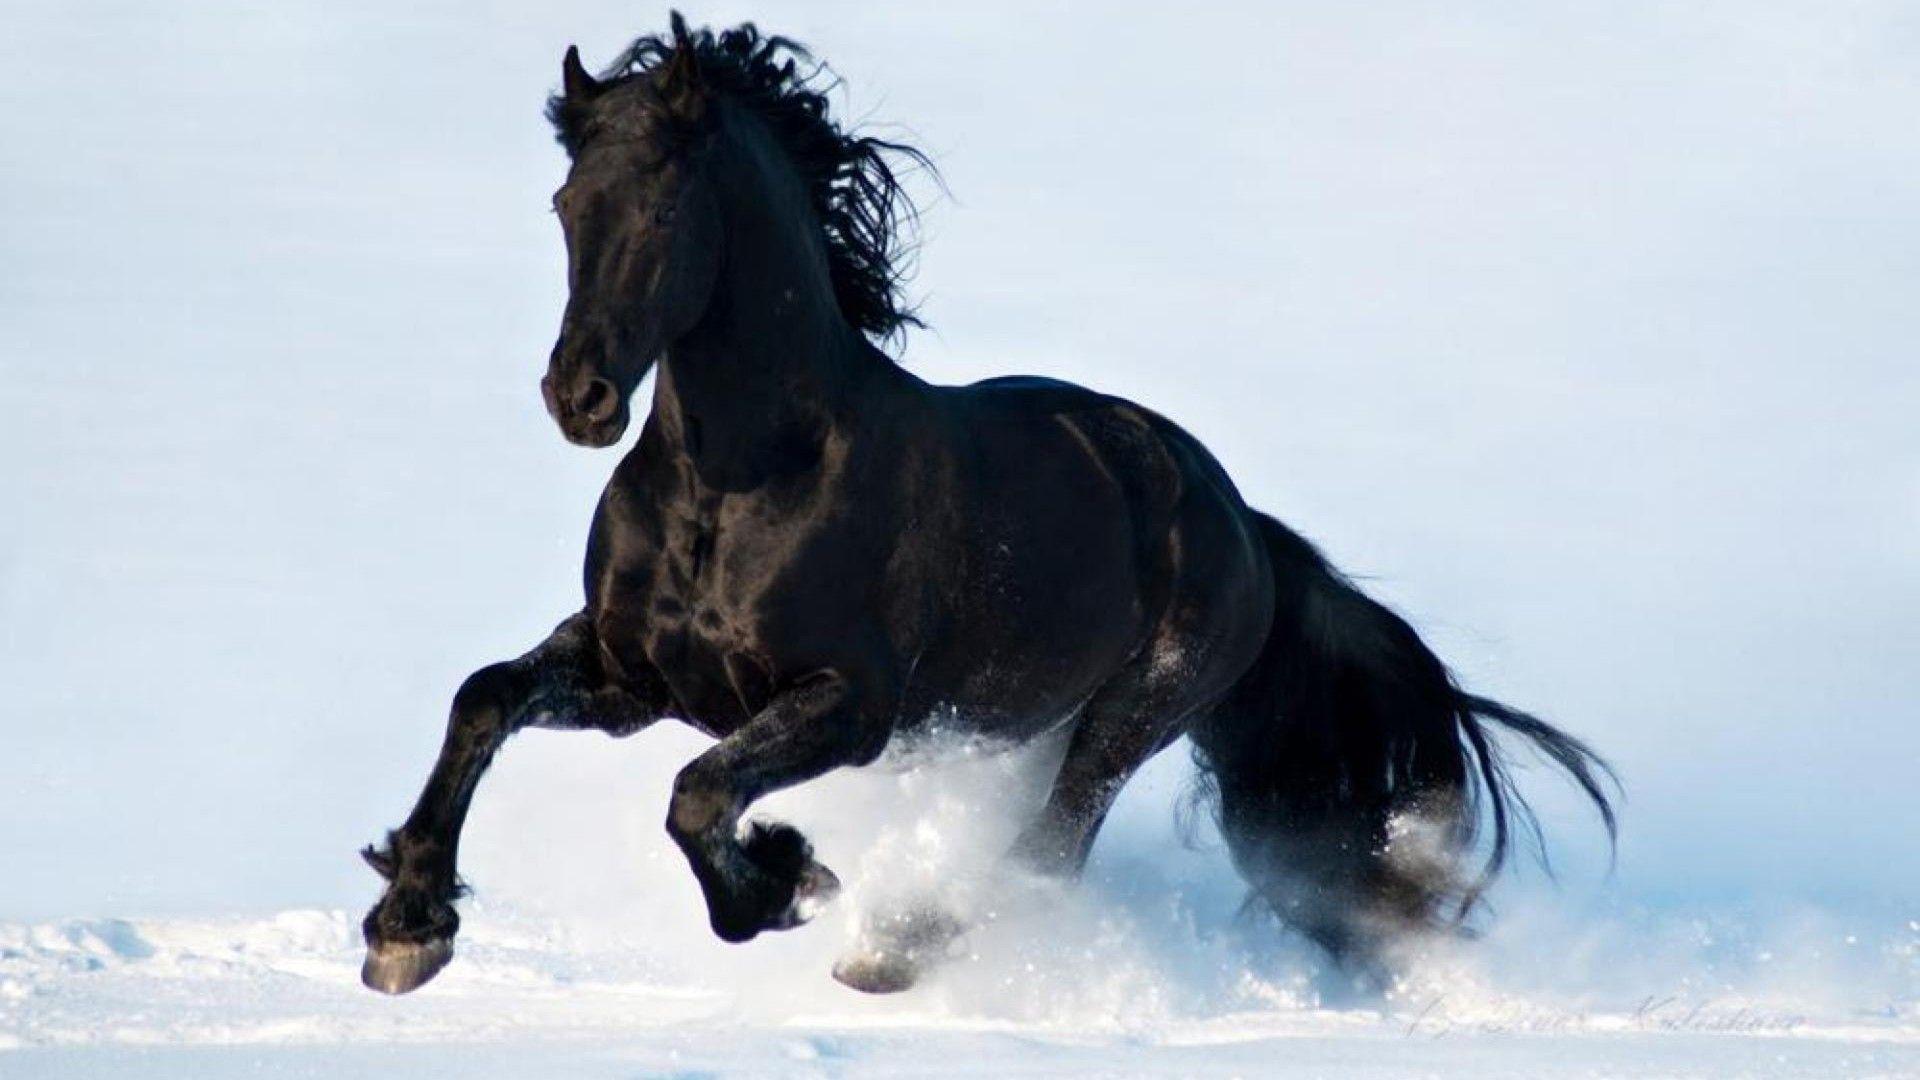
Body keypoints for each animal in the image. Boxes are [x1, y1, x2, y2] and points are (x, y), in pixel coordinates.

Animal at [359, 15, 1616, 997]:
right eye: (566, 201)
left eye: (664, 213)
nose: (578, 398)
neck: (739, 482)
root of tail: (1241, 524)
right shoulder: (635, 678)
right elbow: (486, 700)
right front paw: (408, 926)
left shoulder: (850, 705)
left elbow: (697, 794)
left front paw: (788, 878)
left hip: (1127, 718)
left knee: (1047, 851)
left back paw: (896, 947)